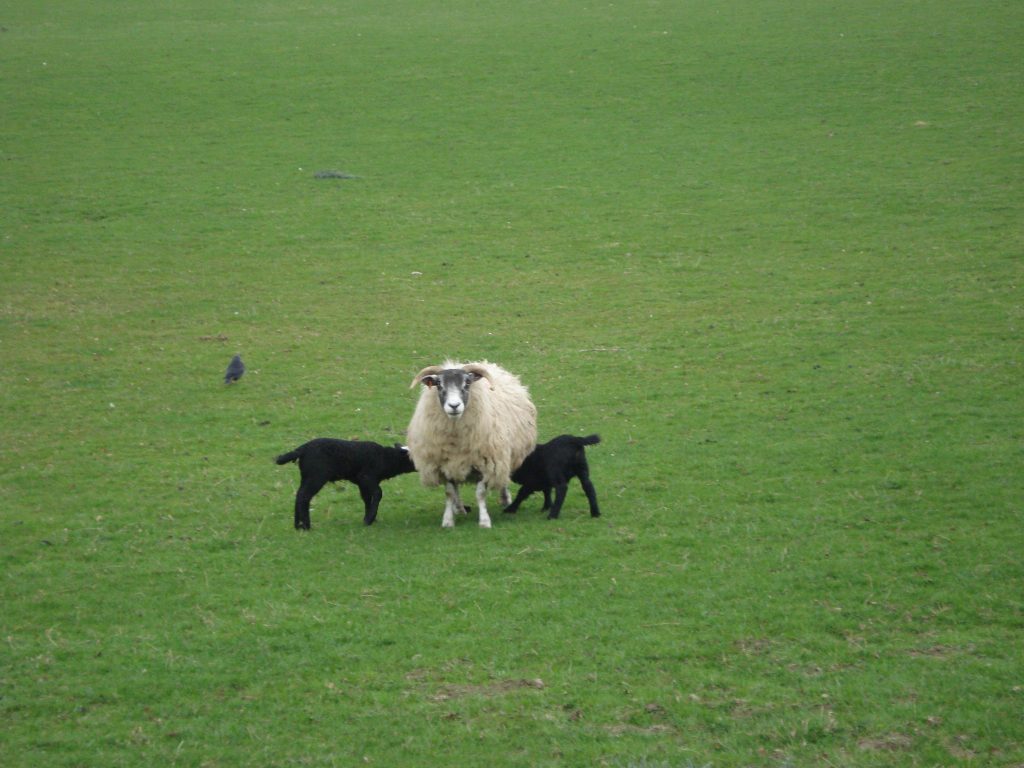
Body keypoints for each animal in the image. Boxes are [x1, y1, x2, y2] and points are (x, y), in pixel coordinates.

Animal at [276, 438, 415, 528]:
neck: (386, 458)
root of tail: (302, 449)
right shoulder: (366, 477)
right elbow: (378, 493)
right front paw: (369, 519)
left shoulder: (362, 483)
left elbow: (366, 498)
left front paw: (369, 518)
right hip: (317, 476)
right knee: (304, 496)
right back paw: (306, 525)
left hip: (306, 476)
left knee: (299, 494)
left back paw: (297, 525)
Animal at [405, 360, 540, 528]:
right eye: (439, 385)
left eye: (467, 383)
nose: (454, 406)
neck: (456, 437)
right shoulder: (443, 464)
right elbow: (449, 492)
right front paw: (448, 520)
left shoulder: (485, 463)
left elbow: (480, 494)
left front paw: (484, 521)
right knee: (456, 489)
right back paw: (459, 508)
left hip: (504, 455)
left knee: (502, 476)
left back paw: (504, 499)